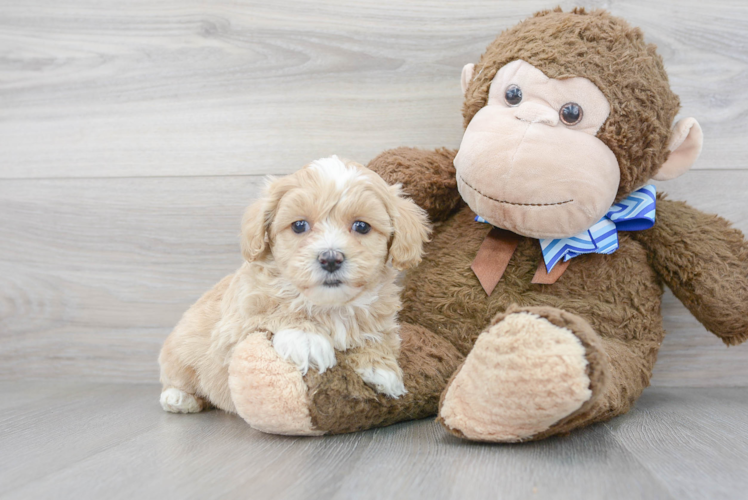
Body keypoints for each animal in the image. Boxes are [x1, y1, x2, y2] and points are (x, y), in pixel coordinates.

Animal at [159, 156, 426, 414]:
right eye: (299, 225)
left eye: (361, 226)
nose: (330, 258)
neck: (330, 306)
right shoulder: (231, 330)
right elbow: (273, 312)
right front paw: (306, 337)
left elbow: (377, 337)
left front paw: (381, 366)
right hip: (179, 352)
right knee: (177, 379)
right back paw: (179, 398)